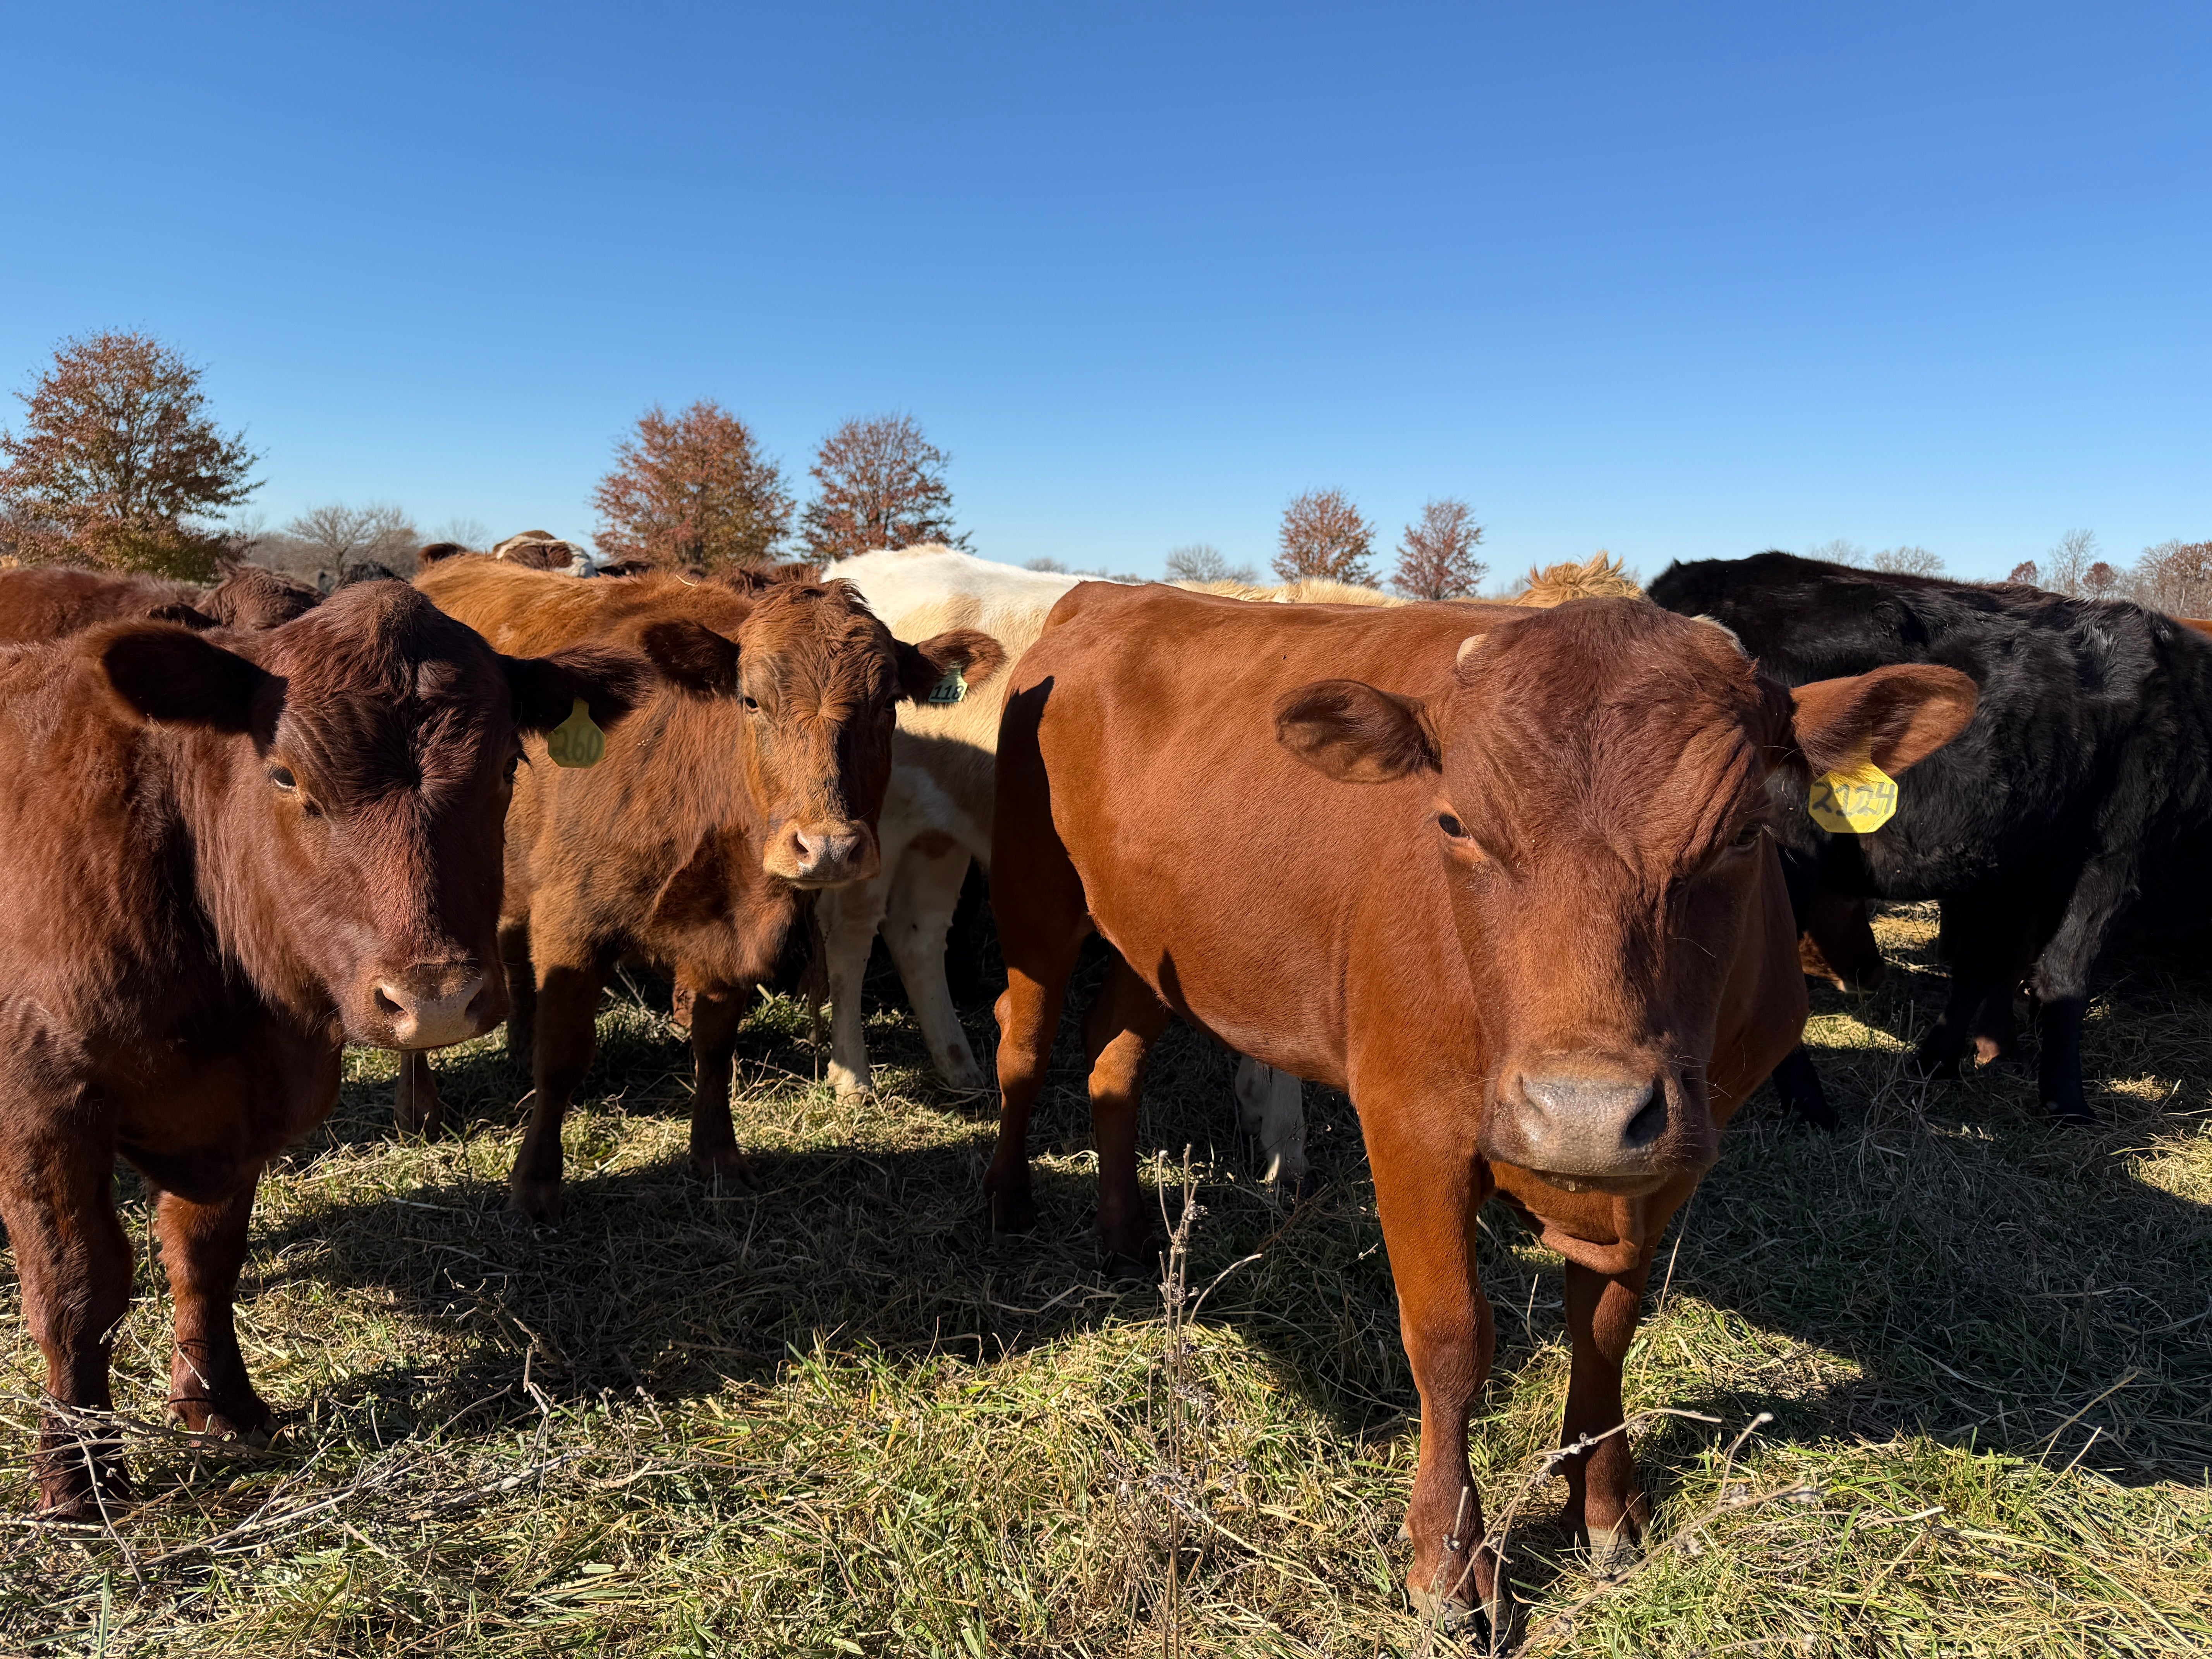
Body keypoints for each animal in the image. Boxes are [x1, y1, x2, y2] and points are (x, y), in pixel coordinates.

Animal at [0, 581, 686, 1518]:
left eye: (509, 767)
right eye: (286, 775)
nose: (435, 998)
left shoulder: (246, 1109)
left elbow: (205, 1259)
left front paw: (224, 1407)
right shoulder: (44, 1107)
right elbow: (78, 1288)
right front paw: (79, 1481)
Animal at [409, 556, 997, 1219]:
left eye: (888, 706)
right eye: (751, 700)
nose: (828, 848)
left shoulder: (730, 937)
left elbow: (715, 1047)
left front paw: (717, 1155)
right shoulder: (571, 924)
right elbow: (561, 1057)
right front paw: (536, 1183)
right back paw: (421, 1109)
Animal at [982, 584, 1974, 1623]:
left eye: (1745, 833)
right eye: (1455, 824)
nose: (1583, 1112)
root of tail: (1105, 596)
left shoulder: (1669, 1161)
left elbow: (1607, 1329)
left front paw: (1604, 1505)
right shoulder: (1409, 1127)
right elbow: (1452, 1342)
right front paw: (1450, 1563)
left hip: (1161, 944)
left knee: (1111, 1058)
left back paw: (1127, 1231)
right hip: (1034, 899)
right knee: (1024, 1040)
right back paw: (1009, 1201)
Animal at [1649, 550, 2212, 1120]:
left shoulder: (2007, 866)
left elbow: (1981, 966)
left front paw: (1938, 1061)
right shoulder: (2113, 857)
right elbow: (2063, 978)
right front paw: (2066, 1102)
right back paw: (1809, 1106)